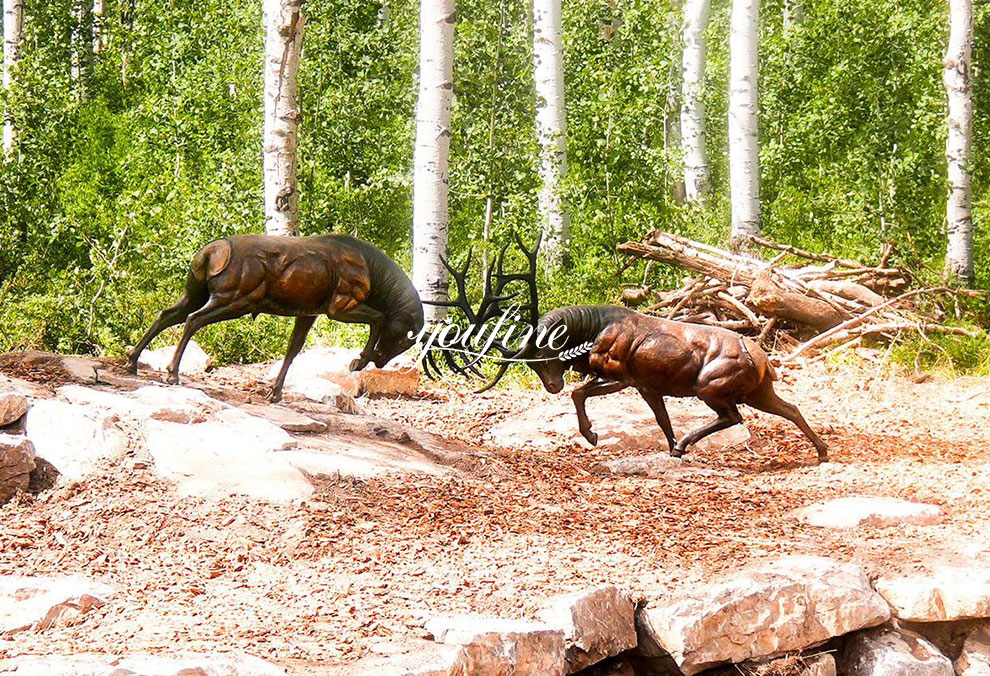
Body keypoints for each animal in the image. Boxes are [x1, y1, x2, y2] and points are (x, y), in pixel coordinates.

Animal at [126, 234, 424, 402]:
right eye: (404, 338)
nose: (381, 360)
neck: (377, 279)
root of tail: (209, 254)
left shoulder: (309, 312)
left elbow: (293, 349)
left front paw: (275, 392)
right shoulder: (339, 305)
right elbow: (379, 318)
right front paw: (359, 361)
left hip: (196, 292)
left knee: (167, 314)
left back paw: (132, 362)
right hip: (235, 298)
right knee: (193, 320)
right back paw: (171, 373)